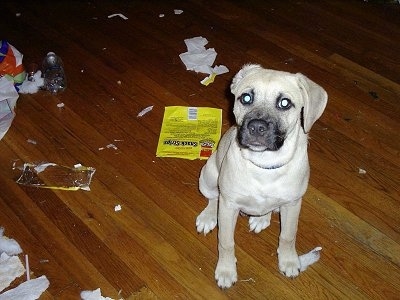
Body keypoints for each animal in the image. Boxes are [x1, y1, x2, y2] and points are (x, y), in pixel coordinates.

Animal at [195, 63, 326, 288]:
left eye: (285, 103)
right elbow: (226, 242)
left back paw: (262, 218)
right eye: (246, 98)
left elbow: (288, 235)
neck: (264, 164)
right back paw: (208, 216)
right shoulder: (228, 205)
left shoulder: (293, 204)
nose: (256, 127)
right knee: (213, 198)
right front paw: (226, 270)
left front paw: (289, 260)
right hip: (209, 175)